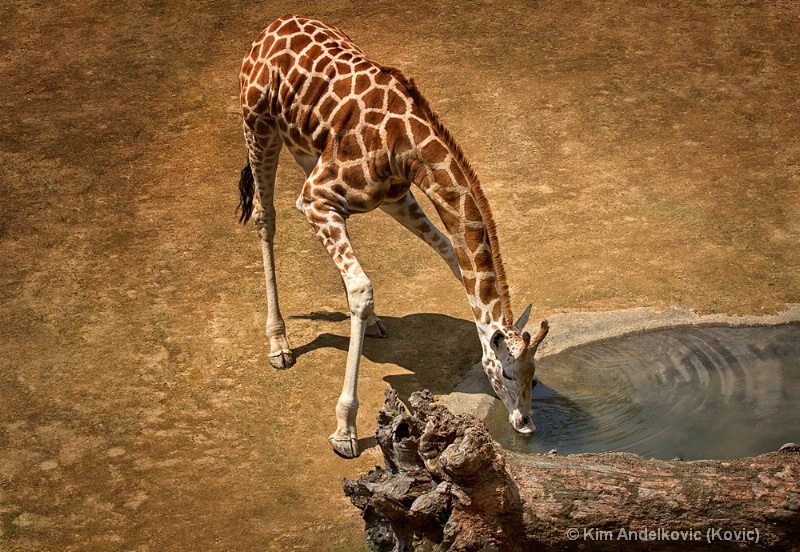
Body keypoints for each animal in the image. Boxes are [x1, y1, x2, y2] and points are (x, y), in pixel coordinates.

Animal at [239, 15, 552, 460]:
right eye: (508, 375)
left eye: (535, 375)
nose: (525, 424)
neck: (408, 147)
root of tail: (270, 27)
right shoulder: (317, 199)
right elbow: (362, 288)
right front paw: (345, 430)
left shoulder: (394, 197)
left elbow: (451, 257)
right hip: (257, 125)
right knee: (266, 217)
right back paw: (279, 345)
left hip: (307, 147)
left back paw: (374, 323)